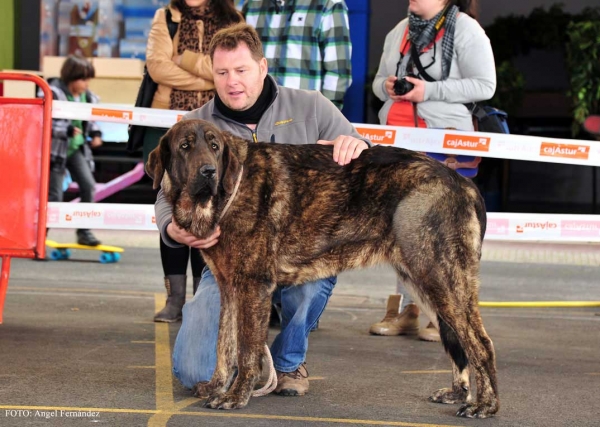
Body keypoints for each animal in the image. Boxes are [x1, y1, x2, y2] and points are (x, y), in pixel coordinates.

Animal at [148, 118, 500, 420]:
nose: (209, 171)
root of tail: (463, 183)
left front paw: (236, 395)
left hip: (441, 280)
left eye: (215, 146)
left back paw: (485, 405)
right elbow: (225, 345)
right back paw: (459, 393)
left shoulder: (253, 287)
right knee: (458, 341)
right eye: (185, 147)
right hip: (424, 284)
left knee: (480, 343)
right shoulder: (231, 289)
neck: (226, 193)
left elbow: (247, 349)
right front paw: (218, 385)